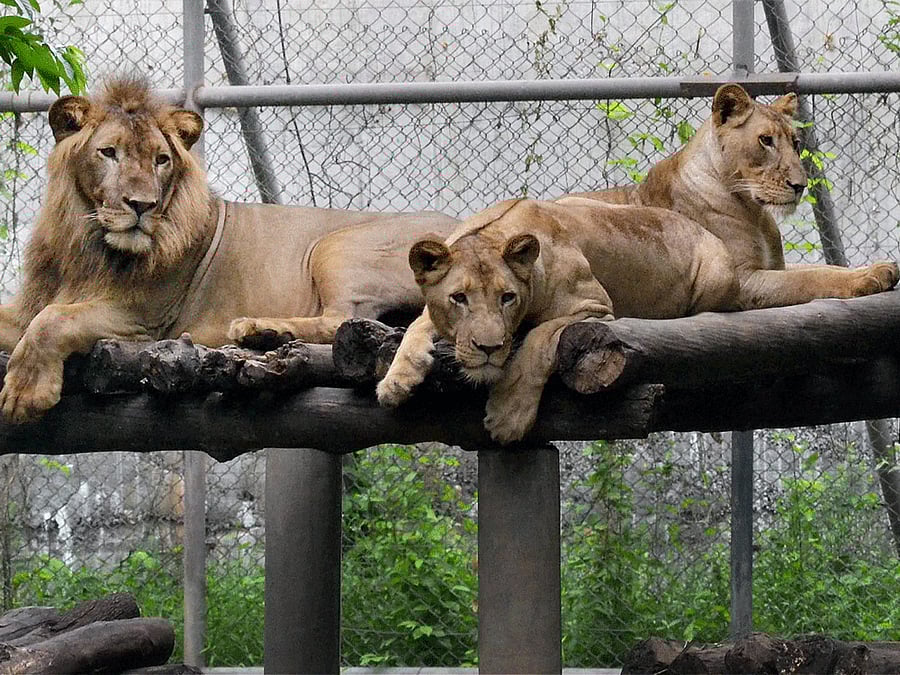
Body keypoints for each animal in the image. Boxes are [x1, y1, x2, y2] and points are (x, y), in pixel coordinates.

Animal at [0, 76, 458, 422]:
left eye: (161, 160)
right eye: (109, 153)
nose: (142, 205)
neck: (85, 245)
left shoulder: (147, 320)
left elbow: (54, 319)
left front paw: (25, 391)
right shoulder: (28, 307)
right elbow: (32, 317)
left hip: (336, 245)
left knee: (345, 322)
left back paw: (259, 327)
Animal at [376, 198, 743, 444]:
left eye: (507, 297)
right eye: (459, 298)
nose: (490, 348)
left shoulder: (595, 306)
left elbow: (538, 340)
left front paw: (508, 417)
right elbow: (417, 325)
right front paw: (396, 380)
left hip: (716, 276)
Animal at [572, 83, 899, 307]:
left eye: (795, 143)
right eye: (766, 140)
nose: (800, 185)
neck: (756, 213)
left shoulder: (774, 265)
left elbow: (825, 266)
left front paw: (879, 267)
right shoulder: (742, 280)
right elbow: (810, 277)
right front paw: (869, 277)